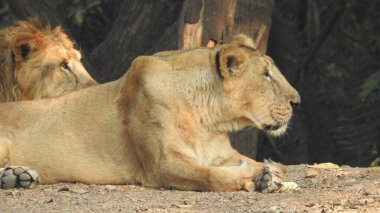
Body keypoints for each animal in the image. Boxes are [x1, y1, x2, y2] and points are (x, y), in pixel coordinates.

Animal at [0, 34, 302, 191]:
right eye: (266, 75)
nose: (297, 102)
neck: (208, 120)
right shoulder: (161, 165)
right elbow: (208, 176)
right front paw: (254, 177)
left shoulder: (220, 153)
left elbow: (275, 165)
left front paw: (269, 173)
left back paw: (17, 176)